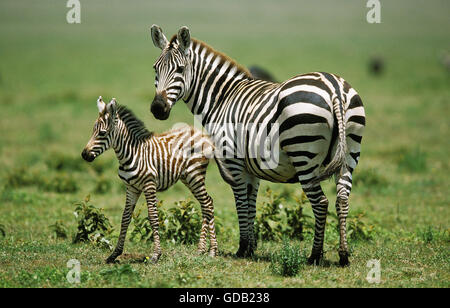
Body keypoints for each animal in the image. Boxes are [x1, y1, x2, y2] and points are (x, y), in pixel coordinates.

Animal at [81, 95, 230, 262]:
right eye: (93, 130)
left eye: (102, 133)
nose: (84, 155)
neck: (131, 154)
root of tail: (203, 135)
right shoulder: (131, 187)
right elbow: (125, 217)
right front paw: (115, 254)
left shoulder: (149, 185)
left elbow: (153, 217)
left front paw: (155, 254)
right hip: (188, 177)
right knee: (205, 204)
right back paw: (201, 249)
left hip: (195, 174)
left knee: (208, 203)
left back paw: (212, 251)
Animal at [149, 25, 366, 266]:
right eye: (155, 69)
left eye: (180, 69)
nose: (157, 108)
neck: (222, 98)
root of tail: (334, 88)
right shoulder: (252, 166)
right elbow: (251, 203)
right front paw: (251, 247)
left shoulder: (233, 161)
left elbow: (241, 202)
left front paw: (242, 248)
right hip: (349, 154)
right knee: (342, 199)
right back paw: (344, 255)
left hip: (304, 154)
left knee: (321, 202)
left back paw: (314, 256)